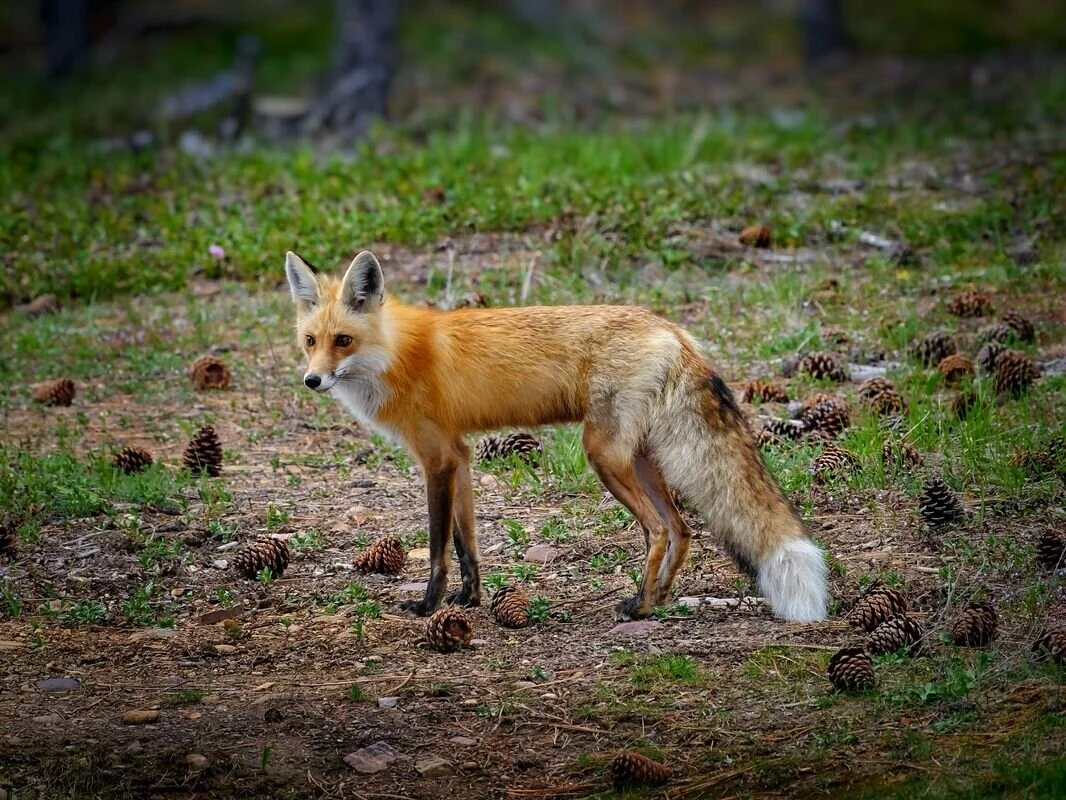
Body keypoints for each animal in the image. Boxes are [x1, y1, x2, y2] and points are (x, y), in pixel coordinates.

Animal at [285, 249, 829, 623]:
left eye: (343, 341)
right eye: (310, 341)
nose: (312, 380)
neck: (394, 355)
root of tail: (673, 330)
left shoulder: (436, 458)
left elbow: (439, 546)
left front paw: (429, 606)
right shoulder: (461, 455)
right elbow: (467, 543)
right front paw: (469, 600)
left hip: (603, 453)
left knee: (657, 529)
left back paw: (639, 606)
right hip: (641, 456)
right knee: (681, 529)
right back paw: (653, 600)